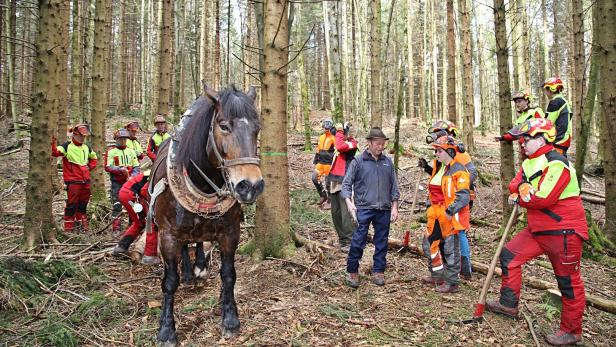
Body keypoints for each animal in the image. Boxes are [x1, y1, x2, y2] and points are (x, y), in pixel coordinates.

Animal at [151, 83, 264, 346]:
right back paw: (189, 273)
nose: (251, 186)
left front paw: (230, 318)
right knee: (186, 245)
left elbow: (229, 274)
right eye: (223, 125)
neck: (203, 184)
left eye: (257, 128)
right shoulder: (167, 236)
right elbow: (169, 282)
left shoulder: (230, 233)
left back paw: (200, 266)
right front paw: (166, 330)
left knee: (199, 240)